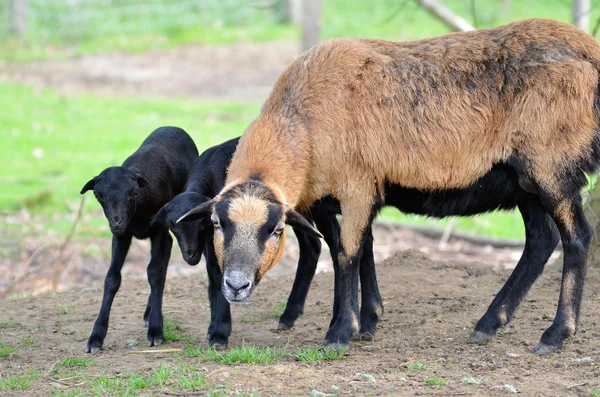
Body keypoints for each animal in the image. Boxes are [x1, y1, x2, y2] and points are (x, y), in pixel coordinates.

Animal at [180, 19, 600, 352]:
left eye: (276, 230)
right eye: (216, 224)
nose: (235, 286)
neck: (300, 121)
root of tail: (589, 48)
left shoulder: (356, 186)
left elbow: (347, 253)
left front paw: (340, 333)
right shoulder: (346, 195)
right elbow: (360, 249)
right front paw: (367, 320)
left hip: (552, 166)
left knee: (577, 237)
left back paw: (556, 334)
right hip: (524, 182)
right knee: (540, 242)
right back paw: (488, 325)